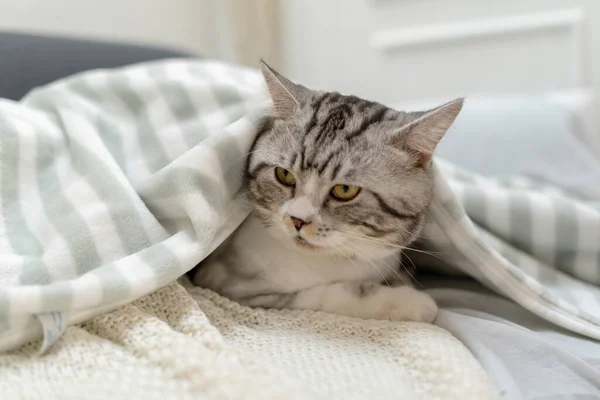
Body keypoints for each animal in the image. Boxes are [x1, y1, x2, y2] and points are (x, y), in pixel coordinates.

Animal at [190, 61, 462, 324]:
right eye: (284, 175)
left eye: (345, 190)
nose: (297, 220)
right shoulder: (229, 285)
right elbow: (332, 294)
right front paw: (409, 302)